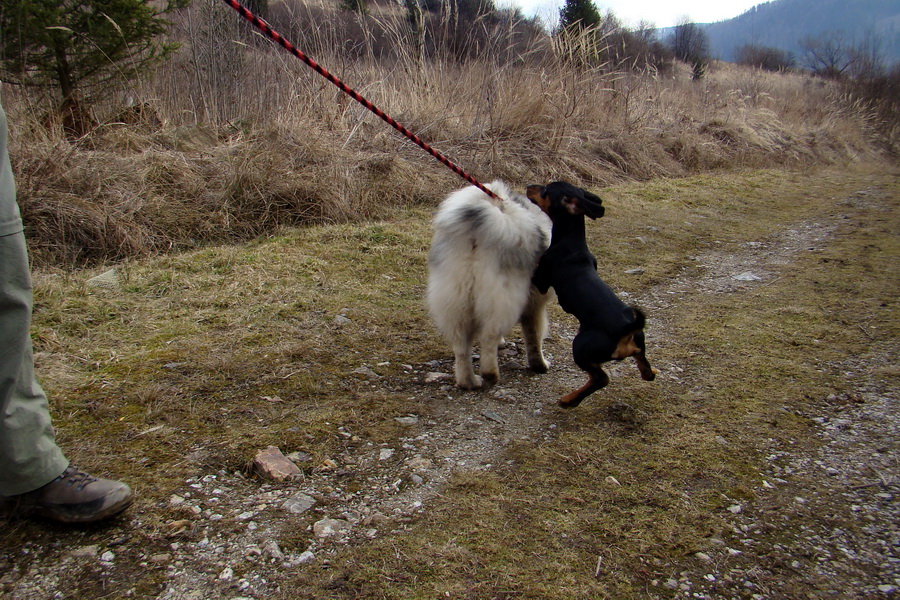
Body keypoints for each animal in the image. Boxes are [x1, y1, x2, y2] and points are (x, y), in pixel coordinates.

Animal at [428, 180, 552, 390]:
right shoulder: (535, 303)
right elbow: (534, 336)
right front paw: (540, 364)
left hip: (456, 298)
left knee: (461, 346)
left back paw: (468, 381)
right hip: (502, 297)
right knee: (488, 337)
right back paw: (490, 374)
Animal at [524, 183, 656, 408]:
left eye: (545, 190)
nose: (528, 186)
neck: (572, 240)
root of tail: (627, 330)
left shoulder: (541, 281)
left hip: (580, 346)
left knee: (601, 378)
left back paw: (568, 400)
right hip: (639, 343)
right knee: (646, 370)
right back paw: (651, 371)